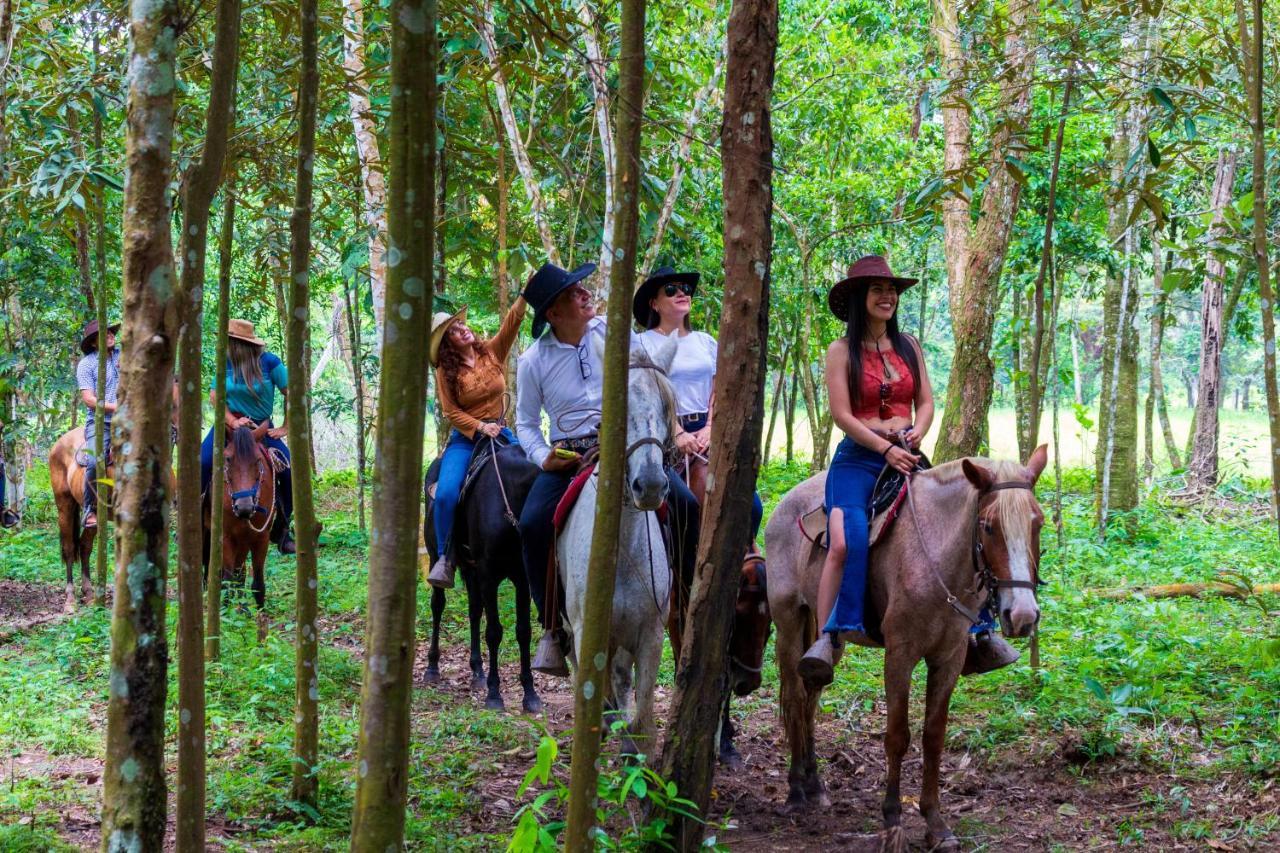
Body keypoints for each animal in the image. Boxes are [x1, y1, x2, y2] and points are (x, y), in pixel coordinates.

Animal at [199, 425, 275, 617]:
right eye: (227, 459)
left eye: (258, 460)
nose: (244, 507)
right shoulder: (225, 538)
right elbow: (226, 581)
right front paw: (225, 615)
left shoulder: (261, 537)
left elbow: (256, 581)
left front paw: (258, 613)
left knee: (239, 574)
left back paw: (243, 608)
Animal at [419, 432, 540, 712]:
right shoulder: (489, 575)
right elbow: (494, 632)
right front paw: (494, 695)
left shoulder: (521, 579)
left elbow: (523, 631)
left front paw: (530, 694)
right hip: (437, 557)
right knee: (437, 605)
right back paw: (432, 667)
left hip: (472, 569)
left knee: (474, 610)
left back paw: (477, 672)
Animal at [558, 333, 680, 758]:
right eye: (615, 409)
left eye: (665, 406)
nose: (651, 485)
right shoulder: (586, 632)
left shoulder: (651, 633)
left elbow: (642, 714)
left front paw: (634, 756)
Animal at [762, 440, 1044, 845]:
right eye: (989, 527)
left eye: (1038, 523)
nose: (1022, 615)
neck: (937, 556)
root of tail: (784, 505)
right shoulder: (900, 655)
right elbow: (897, 735)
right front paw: (892, 817)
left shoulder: (949, 657)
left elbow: (933, 736)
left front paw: (936, 823)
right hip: (787, 622)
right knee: (797, 699)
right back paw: (797, 790)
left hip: (822, 634)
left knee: (811, 693)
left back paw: (815, 786)